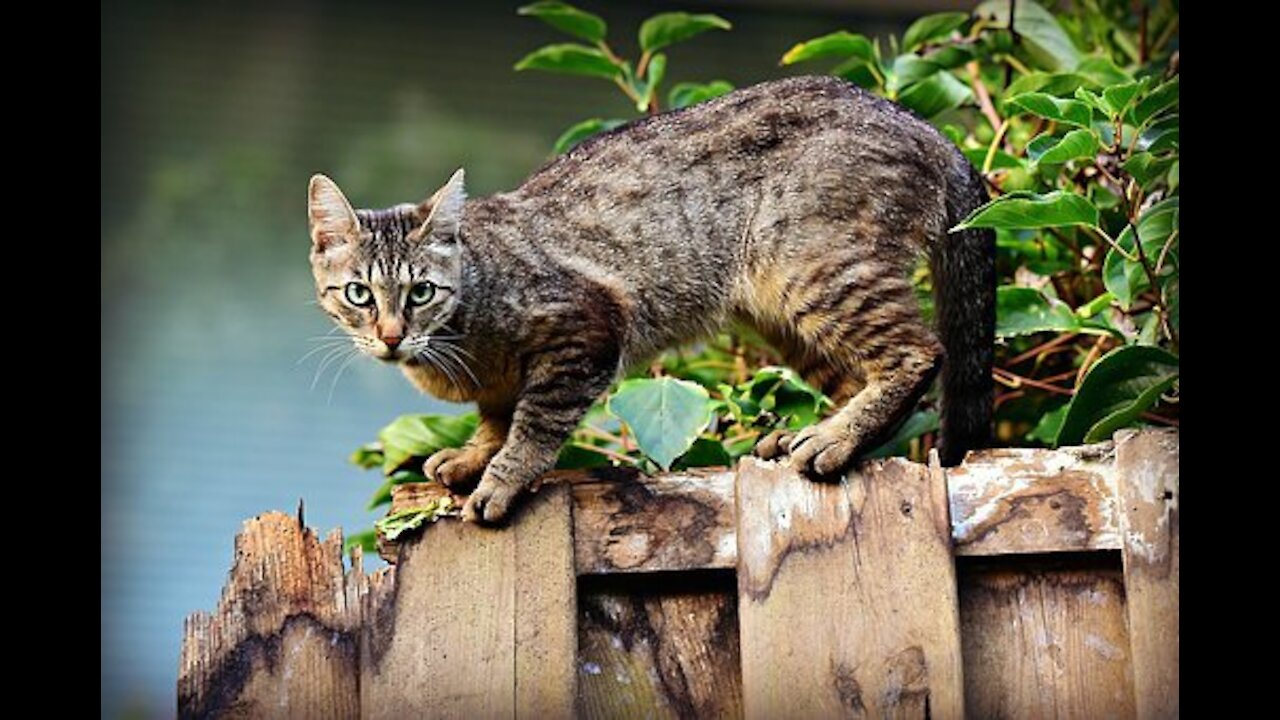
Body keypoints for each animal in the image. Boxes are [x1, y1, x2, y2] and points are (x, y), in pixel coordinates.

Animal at [304, 74, 993, 520]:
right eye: (359, 294)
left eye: (421, 291)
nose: (391, 336)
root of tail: (929, 129)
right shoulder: (500, 385)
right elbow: (495, 418)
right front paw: (474, 456)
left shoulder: (586, 329)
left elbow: (534, 423)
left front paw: (501, 478)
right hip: (780, 312)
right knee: (856, 376)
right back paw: (811, 434)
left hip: (814, 269)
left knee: (919, 353)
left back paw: (833, 441)